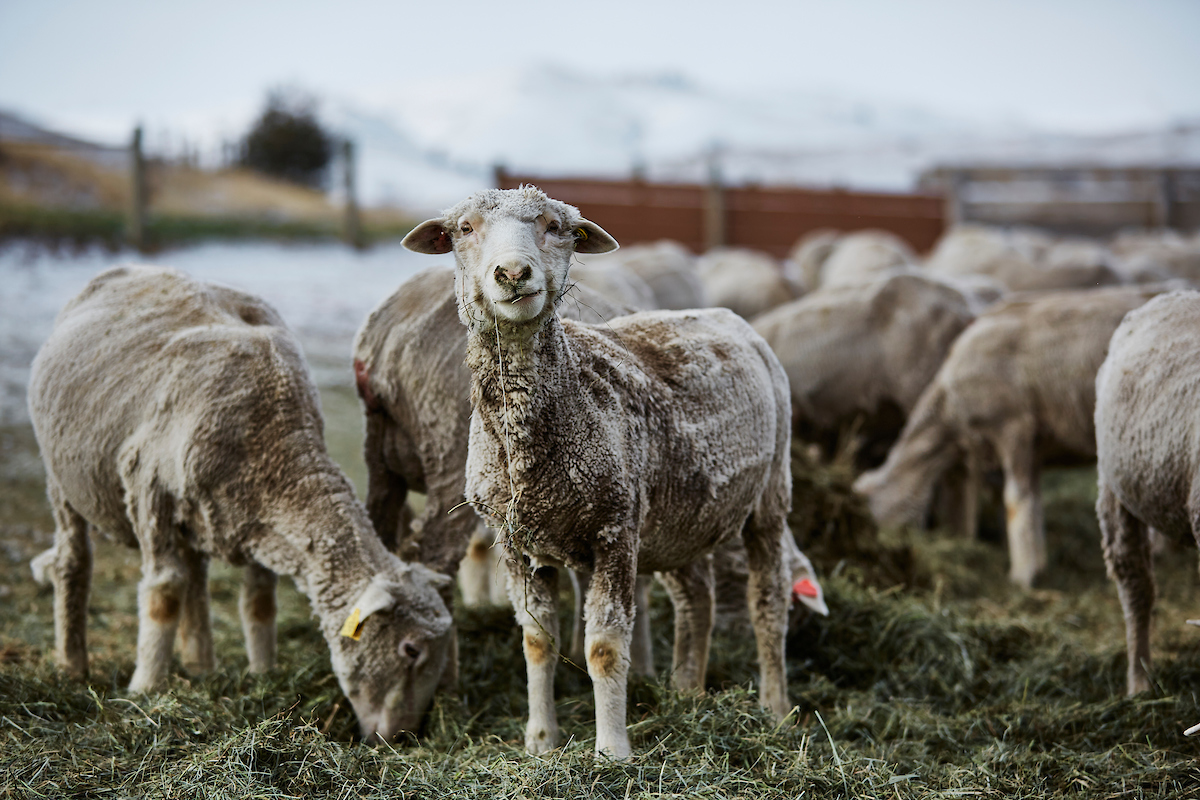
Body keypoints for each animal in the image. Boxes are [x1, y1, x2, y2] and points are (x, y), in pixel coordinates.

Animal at [29, 266, 458, 743]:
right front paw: (145, 690)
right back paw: (73, 664)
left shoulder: (259, 521)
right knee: (76, 561)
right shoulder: (147, 484)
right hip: (61, 479)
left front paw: (263, 673)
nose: (402, 736)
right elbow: (163, 592)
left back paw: (200, 664)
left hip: (198, 513)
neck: (276, 443)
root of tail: (127, 270)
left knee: (195, 576)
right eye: (410, 649)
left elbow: (259, 600)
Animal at [403, 185, 806, 758]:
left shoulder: (614, 529)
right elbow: (536, 642)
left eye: (556, 227)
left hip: (770, 494)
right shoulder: (516, 539)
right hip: (680, 514)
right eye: (464, 229)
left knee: (768, 603)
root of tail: (728, 315)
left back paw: (774, 710)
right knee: (697, 598)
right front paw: (541, 741)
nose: (513, 273)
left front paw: (611, 750)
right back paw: (688, 693)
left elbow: (605, 648)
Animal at [859, 284, 1166, 585]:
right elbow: (1034, 500)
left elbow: (1015, 499)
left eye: (873, 515)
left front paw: (1021, 576)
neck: (949, 409)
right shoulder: (1034, 444)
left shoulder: (1014, 427)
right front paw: (1037, 563)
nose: (881, 549)